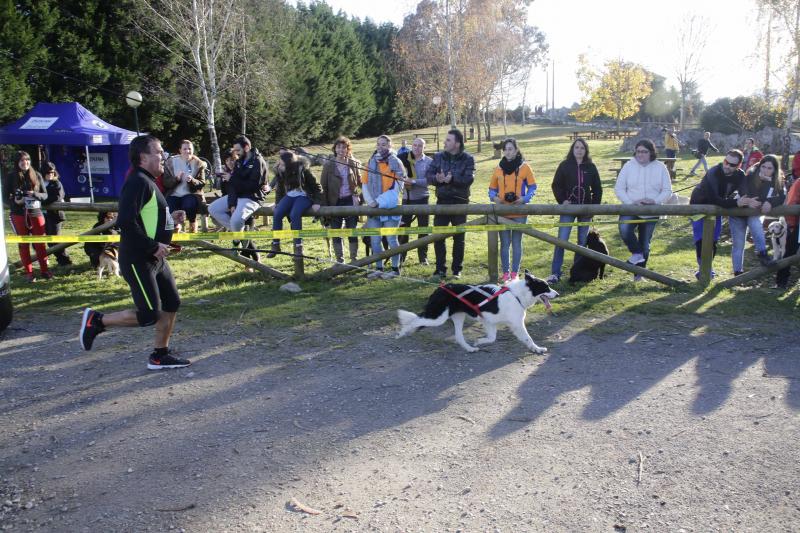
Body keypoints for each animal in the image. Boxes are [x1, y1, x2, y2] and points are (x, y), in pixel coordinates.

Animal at [396, 270, 560, 354]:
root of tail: (440, 288)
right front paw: (538, 349)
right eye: (546, 287)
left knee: (458, 336)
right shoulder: (516, 323)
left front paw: (479, 341)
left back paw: (470, 348)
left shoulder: (489, 321)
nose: (557, 294)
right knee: (416, 320)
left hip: (458, 316)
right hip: (438, 317)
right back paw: (402, 333)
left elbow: (492, 338)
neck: (517, 295)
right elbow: (527, 338)